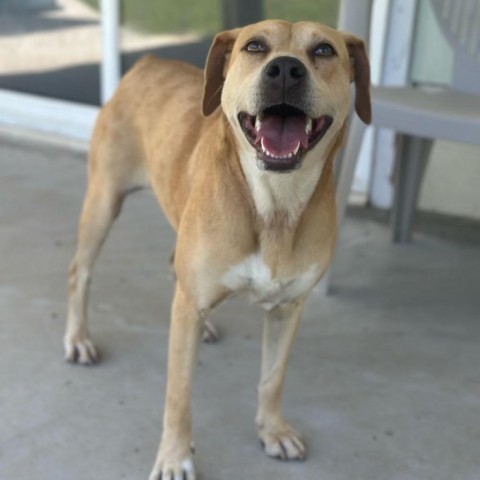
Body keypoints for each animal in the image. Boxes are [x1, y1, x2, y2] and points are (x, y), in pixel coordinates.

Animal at [64, 19, 371, 480]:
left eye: (323, 50)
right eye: (255, 46)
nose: (285, 69)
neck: (274, 206)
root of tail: (150, 61)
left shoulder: (288, 309)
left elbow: (273, 378)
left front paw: (272, 430)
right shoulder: (187, 312)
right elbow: (179, 395)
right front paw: (175, 458)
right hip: (103, 201)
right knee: (80, 271)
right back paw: (78, 338)